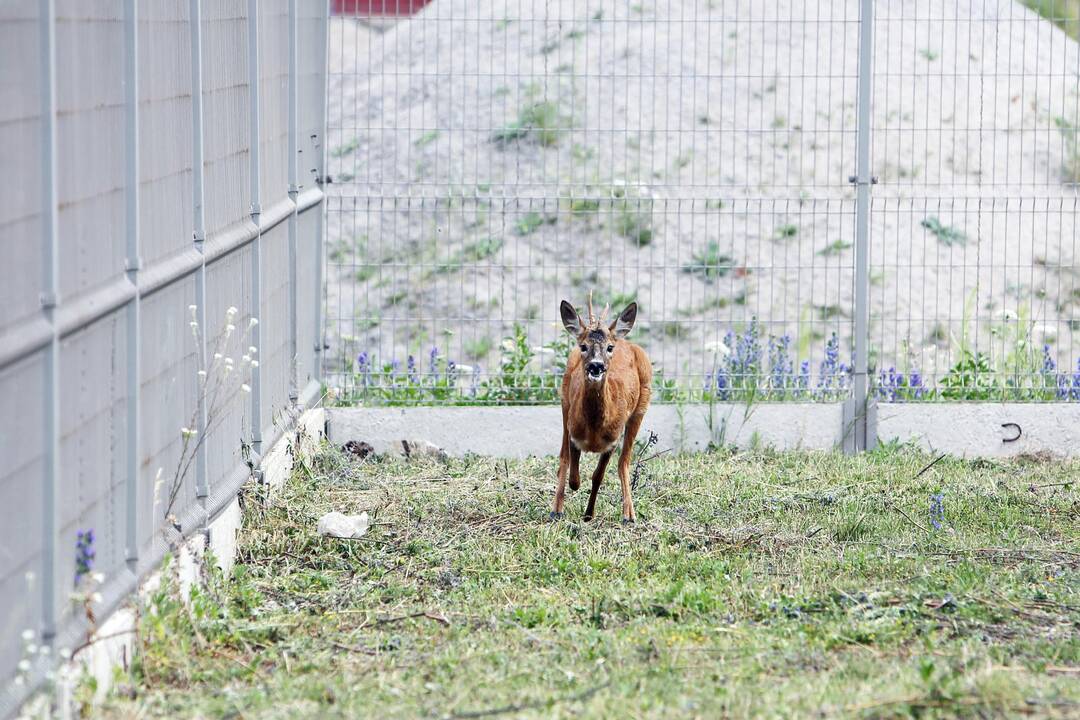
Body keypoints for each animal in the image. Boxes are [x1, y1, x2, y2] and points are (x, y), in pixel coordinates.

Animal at [552, 293, 652, 524]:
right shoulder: (572, 431)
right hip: (564, 401)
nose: (596, 365)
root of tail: (624, 339)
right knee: (563, 457)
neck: (593, 430)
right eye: (583, 346)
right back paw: (556, 510)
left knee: (624, 462)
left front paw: (589, 514)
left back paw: (628, 514)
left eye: (609, 348)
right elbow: (573, 472)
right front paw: (572, 495)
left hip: (641, 408)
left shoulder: (612, 441)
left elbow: (598, 476)